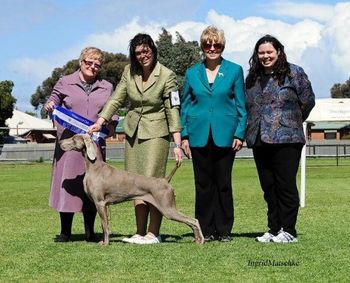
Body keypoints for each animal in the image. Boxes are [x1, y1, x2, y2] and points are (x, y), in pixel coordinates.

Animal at [58, 134, 204, 245]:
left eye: (73, 138)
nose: (60, 142)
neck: (94, 167)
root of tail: (165, 180)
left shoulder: (100, 203)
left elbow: (105, 226)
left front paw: (105, 244)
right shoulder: (102, 205)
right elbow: (104, 225)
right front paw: (104, 241)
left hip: (167, 208)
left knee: (194, 220)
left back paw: (201, 240)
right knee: (192, 221)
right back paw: (196, 239)